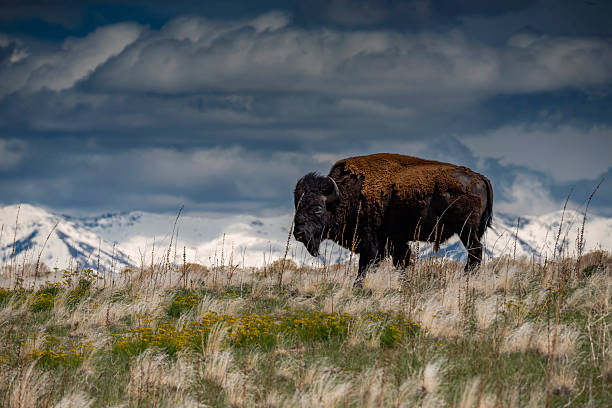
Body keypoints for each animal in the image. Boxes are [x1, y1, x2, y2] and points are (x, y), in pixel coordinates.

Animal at [292, 153, 492, 284]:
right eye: (297, 206)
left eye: (318, 209)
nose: (299, 233)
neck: (343, 196)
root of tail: (480, 177)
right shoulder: (396, 241)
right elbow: (403, 263)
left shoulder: (372, 244)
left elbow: (365, 267)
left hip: (466, 230)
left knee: (475, 251)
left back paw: (465, 278)